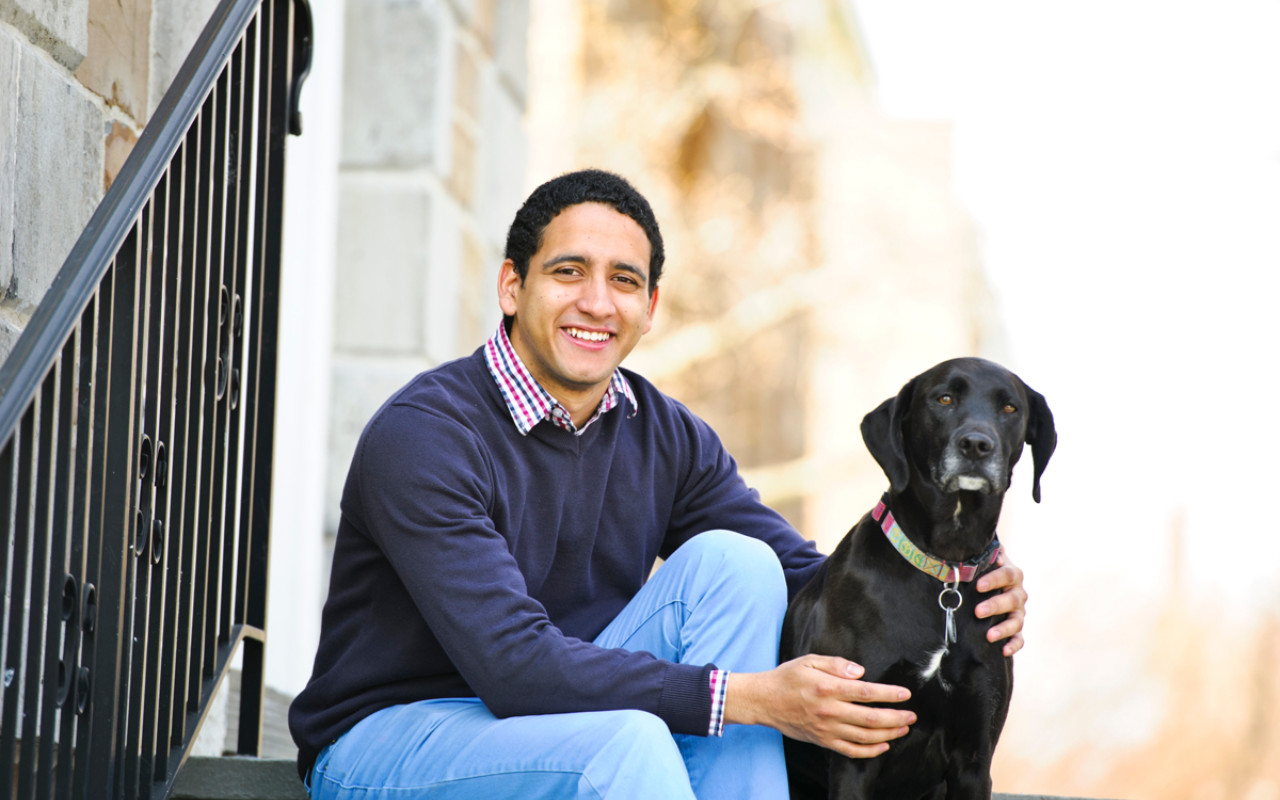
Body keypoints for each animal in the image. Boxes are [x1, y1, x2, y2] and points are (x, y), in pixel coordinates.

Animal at [783, 358, 1054, 798]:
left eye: (1010, 408)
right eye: (943, 399)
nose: (976, 445)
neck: (944, 570)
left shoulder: (974, 759)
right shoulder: (855, 750)